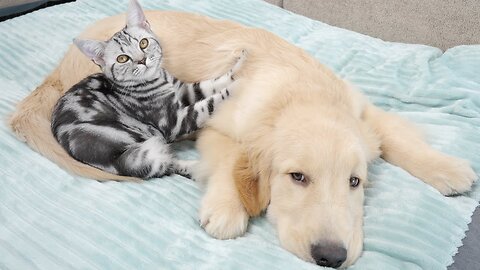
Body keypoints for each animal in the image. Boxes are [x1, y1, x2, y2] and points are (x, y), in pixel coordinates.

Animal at [51, 0, 248, 179]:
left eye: (143, 43)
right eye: (122, 58)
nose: (142, 60)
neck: (158, 78)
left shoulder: (183, 90)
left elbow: (212, 83)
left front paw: (240, 66)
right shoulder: (175, 121)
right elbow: (210, 103)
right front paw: (240, 85)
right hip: (137, 147)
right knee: (165, 166)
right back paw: (198, 168)